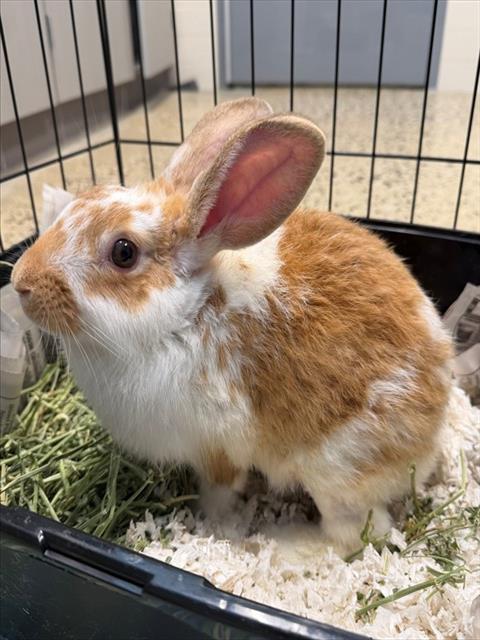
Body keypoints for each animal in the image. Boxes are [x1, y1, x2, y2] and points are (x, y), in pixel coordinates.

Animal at [12, 97, 453, 553]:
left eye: (123, 252)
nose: (20, 282)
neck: (188, 316)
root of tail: (433, 431)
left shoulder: (216, 448)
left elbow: (220, 490)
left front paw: (212, 523)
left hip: (338, 474)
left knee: (357, 534)